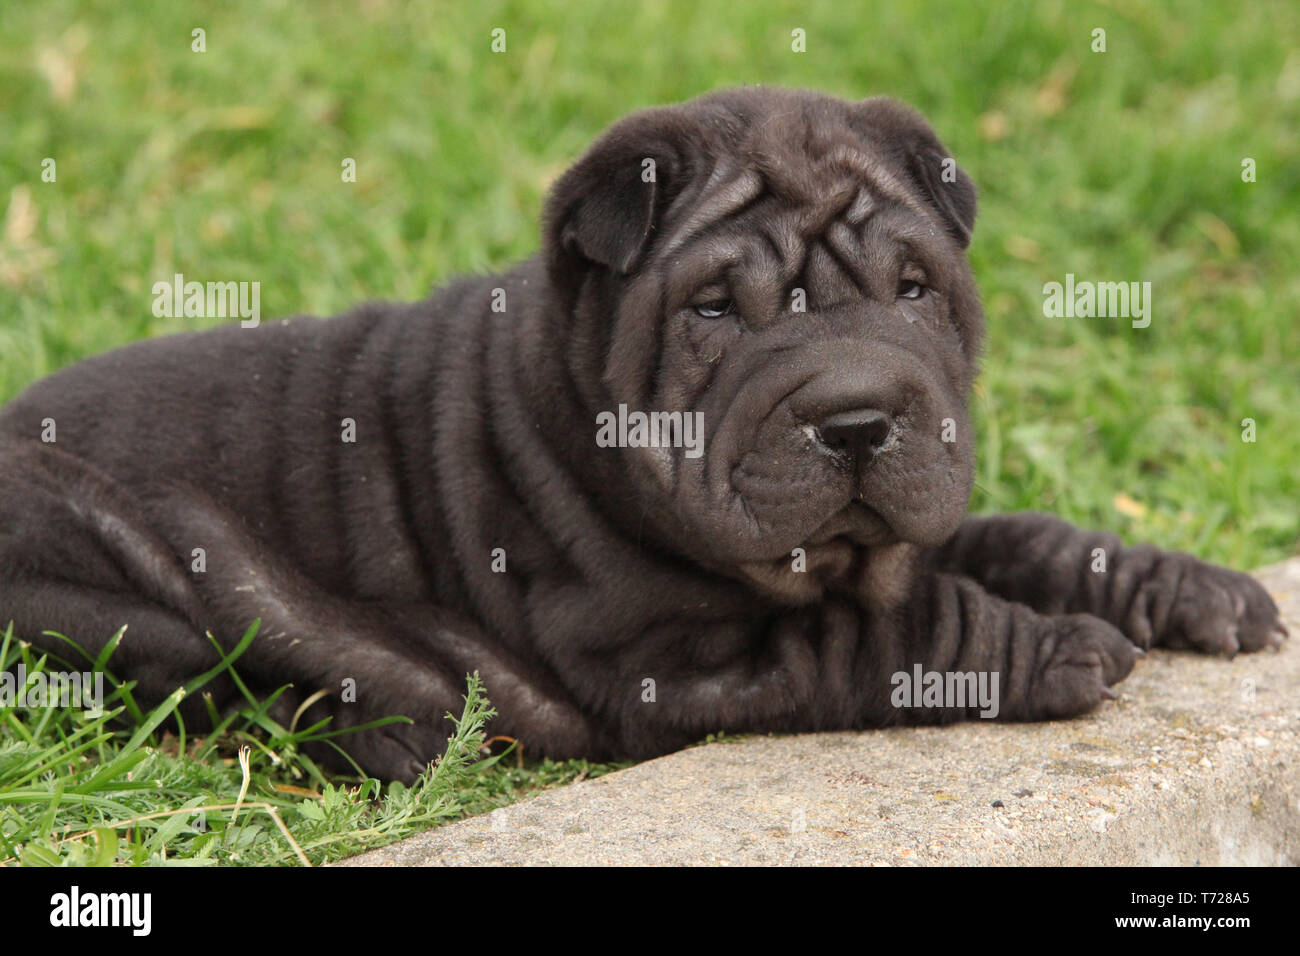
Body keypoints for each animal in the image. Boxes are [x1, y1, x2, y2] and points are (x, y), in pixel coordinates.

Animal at [0, 85, 1279, 780]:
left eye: (915, 288)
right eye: (715, 311)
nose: (859, 415)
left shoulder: (908, 521)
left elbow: (1020, 537)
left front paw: (1180, 585)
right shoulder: (665, 652)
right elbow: (897, 630)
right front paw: (1056, 645)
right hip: (128, 560)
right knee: (213, 686)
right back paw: (400, 739)